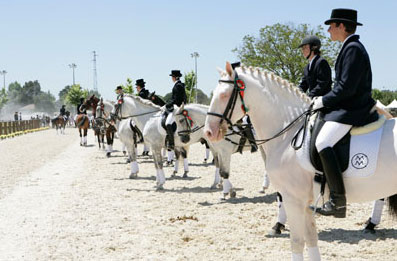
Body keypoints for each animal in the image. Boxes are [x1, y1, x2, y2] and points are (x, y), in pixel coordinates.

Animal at [204, 62, 396, 260]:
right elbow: (311, 239)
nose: (209, 132)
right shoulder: (306, 203)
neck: (288, 133)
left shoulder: (293, 199)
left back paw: (370, 224)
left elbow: (296, 241)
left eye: (224, 95)